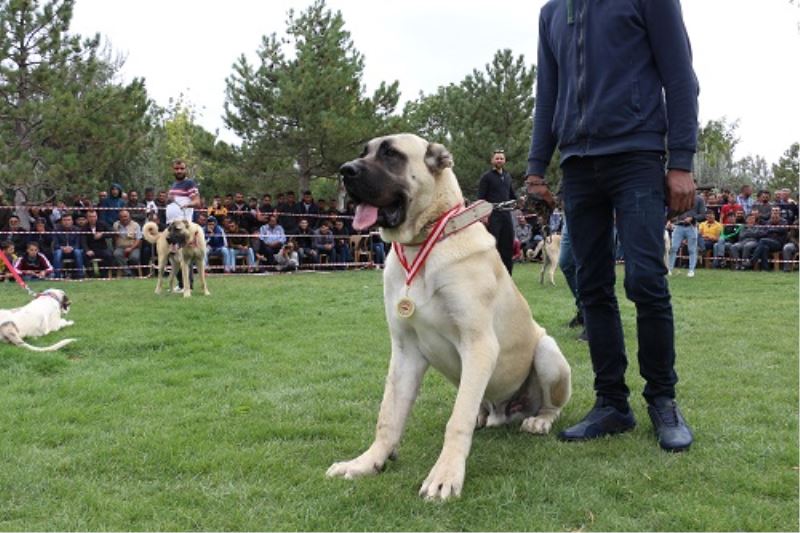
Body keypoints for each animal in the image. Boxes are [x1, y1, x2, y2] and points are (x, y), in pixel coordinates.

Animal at [328, 133, 572, 498]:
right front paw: (367, 462)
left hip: (547, 351)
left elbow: (456, 421)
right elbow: (388, 416)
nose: (345, 171)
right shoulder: (404, 351)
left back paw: (539, 420)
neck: (423, 242)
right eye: (364, 152)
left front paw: (445, 475)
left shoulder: (479, 344)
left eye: (391, 154)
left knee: (551, 405)